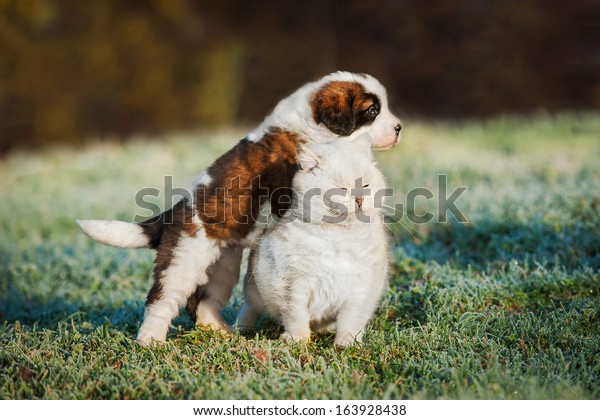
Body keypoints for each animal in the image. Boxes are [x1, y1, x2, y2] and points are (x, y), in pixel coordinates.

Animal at [76, 71, 404, 344]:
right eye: (372, 111)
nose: (399, 128)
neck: (310, 128)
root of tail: (174, 212)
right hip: (184, 258)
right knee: (163, 298)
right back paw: (150, 340)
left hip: (222, 265)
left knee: (204, 302)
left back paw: (222, 332)